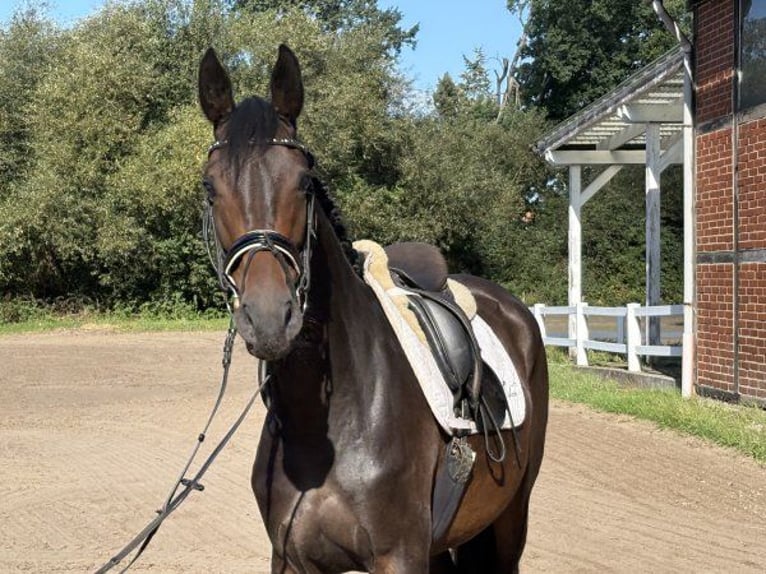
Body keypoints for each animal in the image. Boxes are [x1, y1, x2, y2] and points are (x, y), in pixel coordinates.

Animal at [198, 44, 549, 574]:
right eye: (210, 187)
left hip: (510, 521)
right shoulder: (289, 559)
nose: (269, 318)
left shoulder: (400, 557)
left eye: (304, 182)